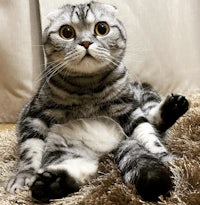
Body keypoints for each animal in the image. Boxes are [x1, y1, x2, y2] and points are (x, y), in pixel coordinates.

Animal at [6, 1, 188, 203]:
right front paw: (24, 175)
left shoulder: (129, 109)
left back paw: (173, 107)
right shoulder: (34, 115)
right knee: (87, 169)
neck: (88, 87)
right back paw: (52, 184)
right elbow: (29, 149)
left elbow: (148, 135)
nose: (85, 42)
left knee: (153, 120)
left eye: (102, 28)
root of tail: (112, 146)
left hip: (143, 91)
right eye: (66, 32)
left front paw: (163, 156)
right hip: (63, 150)